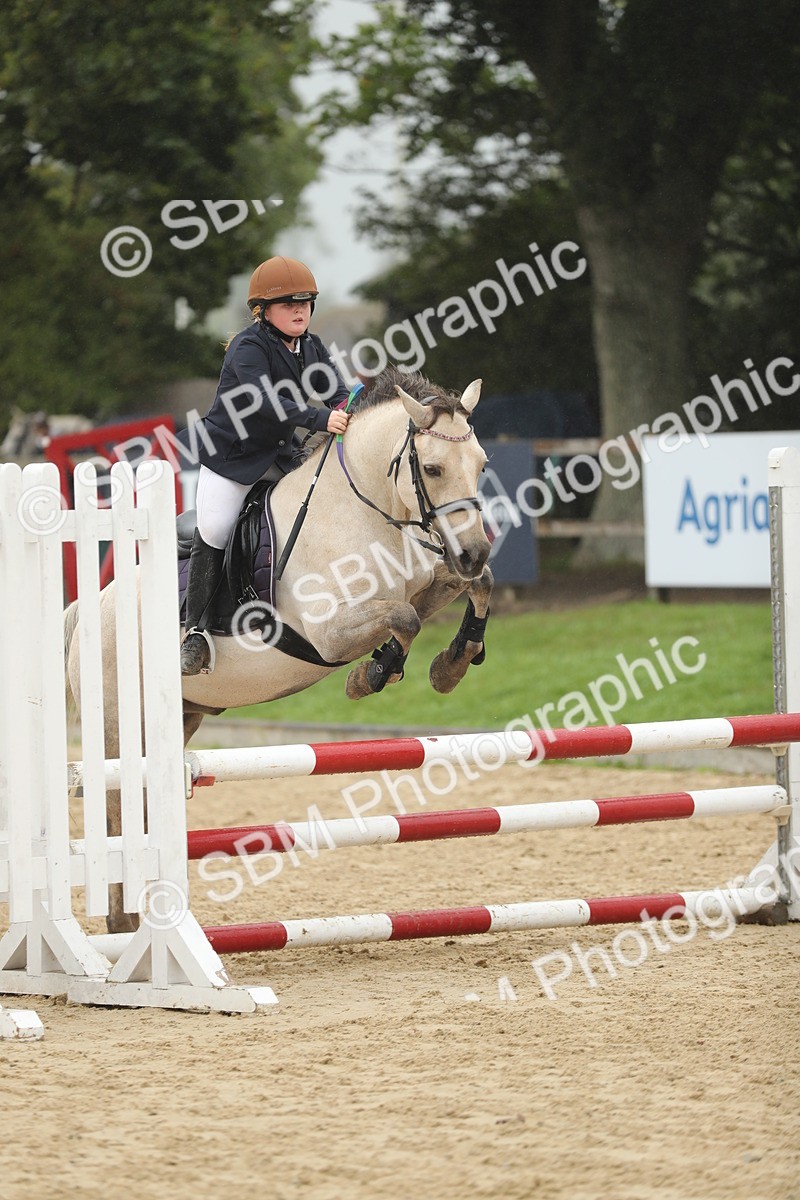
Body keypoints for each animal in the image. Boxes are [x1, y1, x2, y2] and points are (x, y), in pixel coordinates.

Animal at [64, 367, 494, 931]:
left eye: (482, 463)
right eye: (432, 467)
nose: (475, 550)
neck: (362, 510)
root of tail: (84, 612)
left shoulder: (428, 582)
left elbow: (470, 590)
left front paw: (450, 665)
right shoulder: (331, 633)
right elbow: (404, 619)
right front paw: (371, 676)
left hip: (180, 717)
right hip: (118, 731)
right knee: (117, 817)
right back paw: (124, 930)